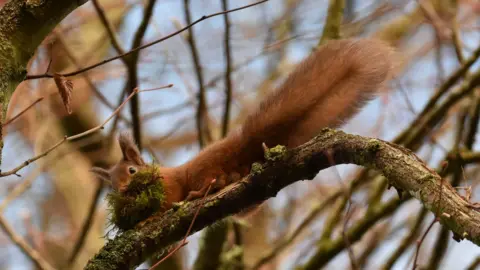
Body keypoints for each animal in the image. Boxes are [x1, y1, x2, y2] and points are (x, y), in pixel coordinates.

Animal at [91, 38, 394, 211]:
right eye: (111, 186)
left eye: (131, 171)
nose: (122, 192)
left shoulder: (169, 185)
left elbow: (165, 201)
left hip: (203, 171)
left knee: (213, 180)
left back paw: (205, 189)